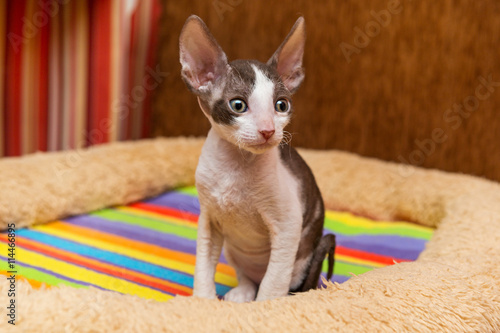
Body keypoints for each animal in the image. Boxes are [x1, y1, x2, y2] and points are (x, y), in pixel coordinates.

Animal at [178, 14, 334, 300]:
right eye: (238, 105)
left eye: (281, 105)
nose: (268, 130)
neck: (235, 167)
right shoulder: (208, 220)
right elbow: (203, 264)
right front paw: (203, 301)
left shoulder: (288, 225)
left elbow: (274, 282)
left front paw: (265, 307)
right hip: (233, 251)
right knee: (247, 275)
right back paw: (243, 292)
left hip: (303, 259)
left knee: (284, 280)